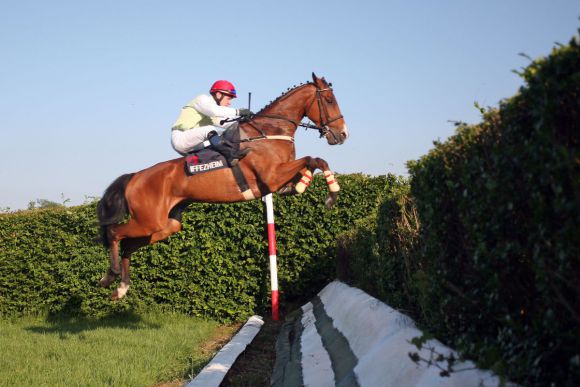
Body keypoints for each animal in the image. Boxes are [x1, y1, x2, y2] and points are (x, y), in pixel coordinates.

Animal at [98, 74, 348, 302]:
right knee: (114, 233)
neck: (268, 132)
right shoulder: (272, 176)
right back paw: (111, 275)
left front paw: (306, 186)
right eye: (329, 100)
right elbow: (314, 159)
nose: (343, 134)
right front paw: (332, 195)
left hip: (165, 225)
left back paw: (120, 287)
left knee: (128, 244)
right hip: (149, 220)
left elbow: (313, 162)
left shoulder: (279, 180)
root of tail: (135, 177)